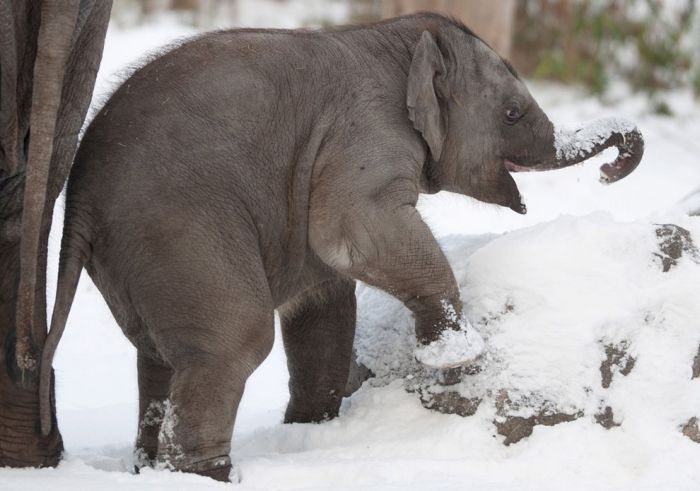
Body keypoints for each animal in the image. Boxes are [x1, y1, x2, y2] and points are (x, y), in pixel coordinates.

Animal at [37, 12, 640, 484]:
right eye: (512, 113)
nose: (610, 170)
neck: (399, 37)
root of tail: (76, 200)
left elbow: (327, 301)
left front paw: (310, 430)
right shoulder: (364, 136)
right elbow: (353, 232)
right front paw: (458, 356)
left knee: (160, 357)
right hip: (178, 229)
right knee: (234, 341)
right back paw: (211, 477)